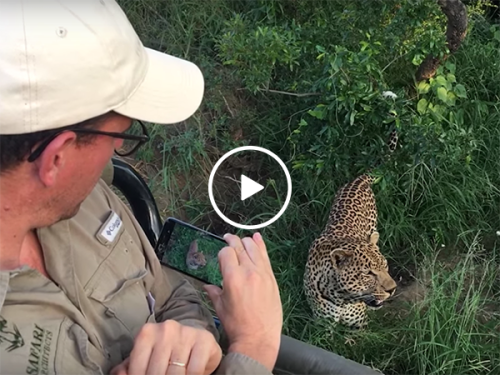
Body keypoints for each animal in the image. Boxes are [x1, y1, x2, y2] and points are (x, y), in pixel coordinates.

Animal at [302, 131, 396, 330]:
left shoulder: (360, 327)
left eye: (385, 265)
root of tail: (357, 180)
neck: (341, 299)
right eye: (368, 273)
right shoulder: (323, 328)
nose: (392, 289)